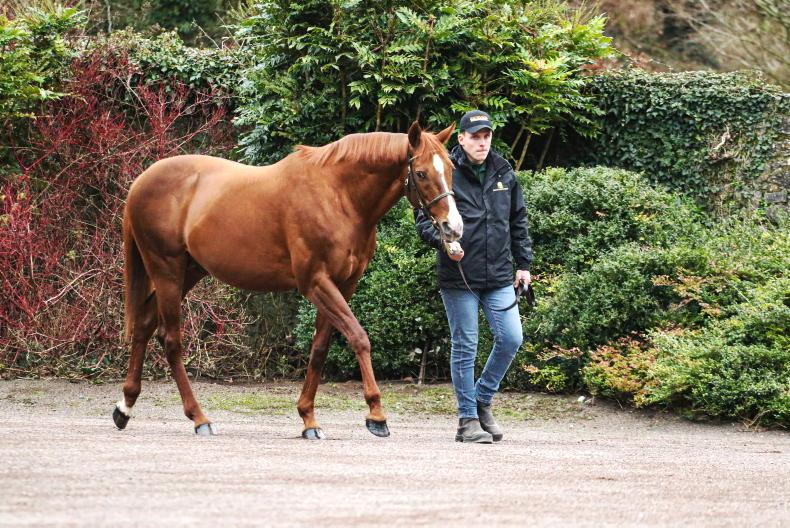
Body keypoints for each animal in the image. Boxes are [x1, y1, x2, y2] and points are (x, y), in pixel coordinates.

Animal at [112, 121, 462, 438]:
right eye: (421, 173)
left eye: (450, 168)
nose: (453, 228)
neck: (338, 196)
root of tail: (141, 181)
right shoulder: (316, 283)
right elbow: (359, 337)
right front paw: (376, 414)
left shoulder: (343, 285)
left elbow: (320, 348)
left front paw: (308, 417)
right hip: (166, 271)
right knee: (171, 340)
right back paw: (199, 418)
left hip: (188, 272)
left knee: (145, 324)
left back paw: (125, 406)